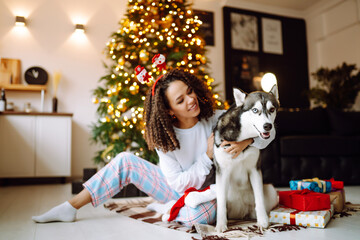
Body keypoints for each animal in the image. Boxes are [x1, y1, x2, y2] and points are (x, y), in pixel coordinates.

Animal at [214, 85, 282, 232]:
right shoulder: (222, 171)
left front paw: (263, 220)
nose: (268, 126)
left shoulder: (254, 169)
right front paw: (221, 224)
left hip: (271, 190)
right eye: (255, 110)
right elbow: (221, 202)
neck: (242, 136)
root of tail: (241, 213)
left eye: (272, 109)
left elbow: (259, 197)